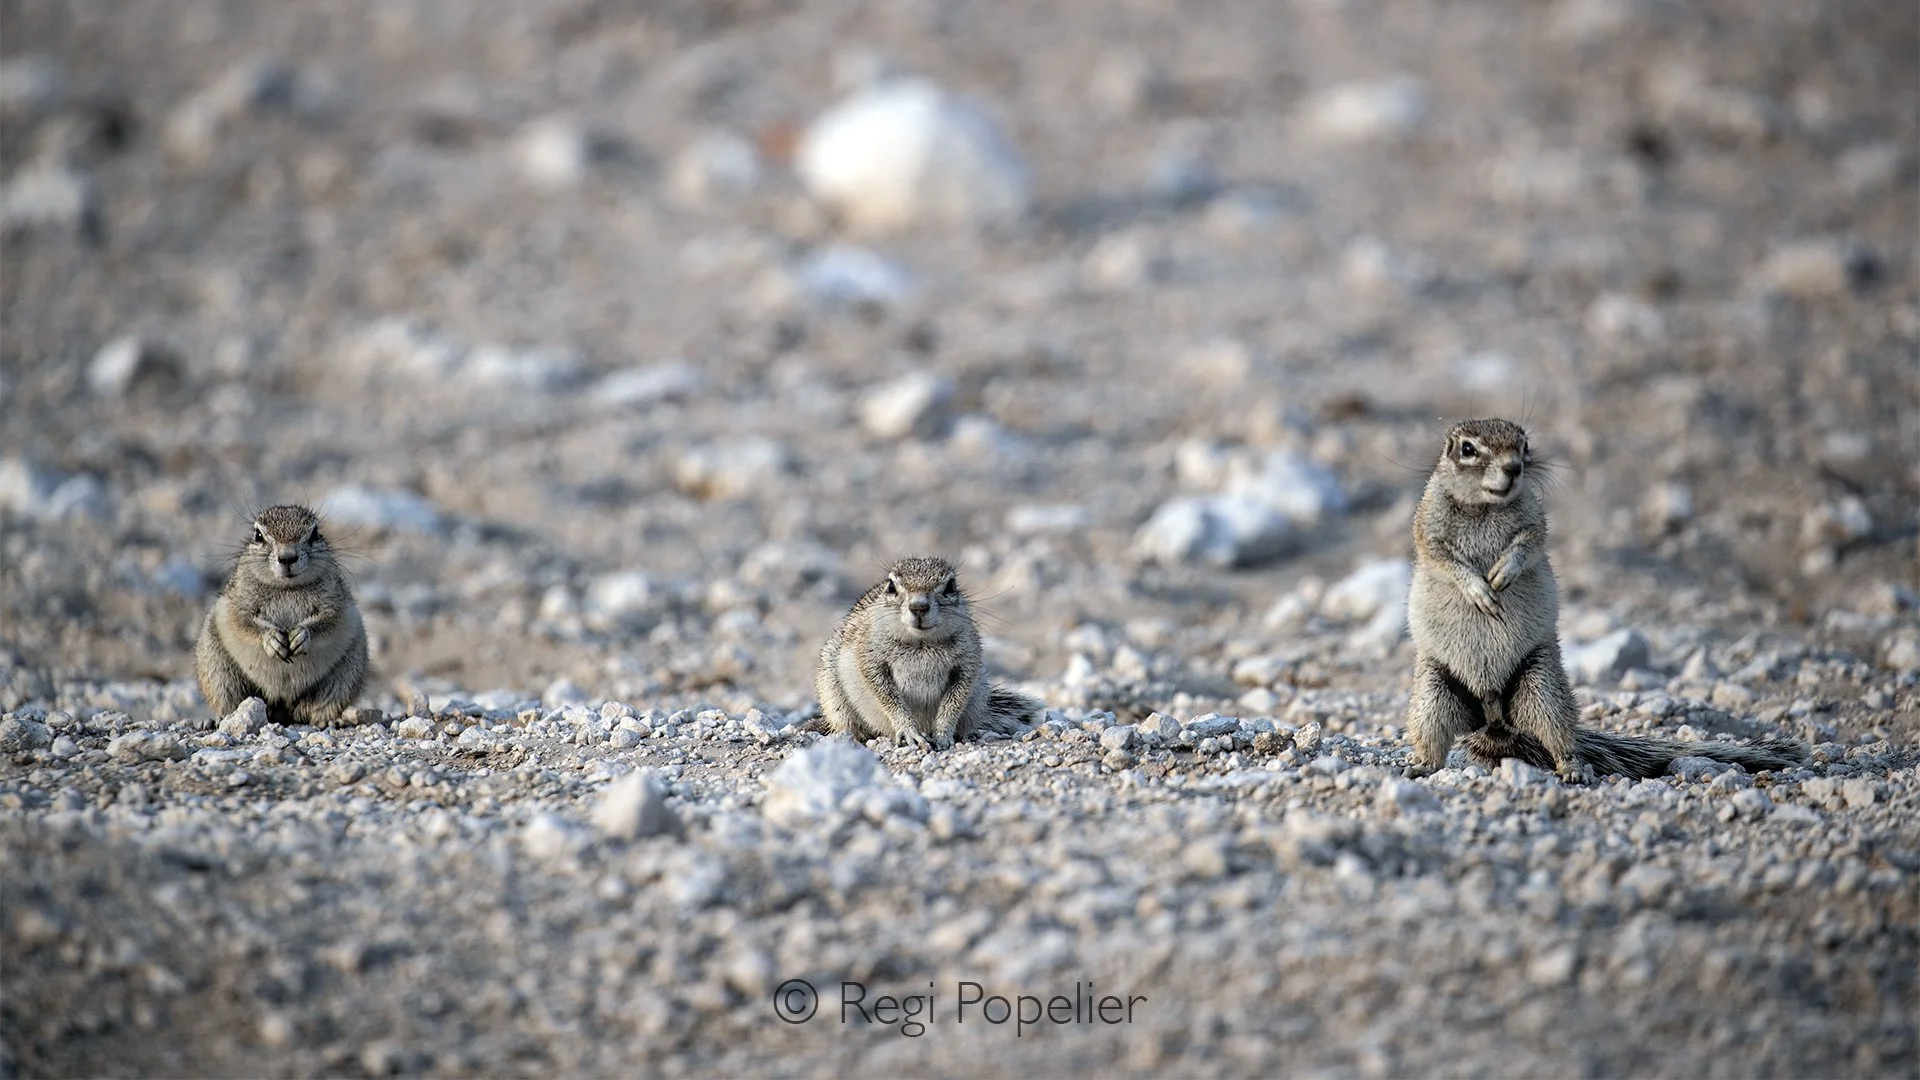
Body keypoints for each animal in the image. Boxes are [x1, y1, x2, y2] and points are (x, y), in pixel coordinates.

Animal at [195, 504, 369, 727]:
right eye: (258, 535)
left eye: (314, 533)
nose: (287, 557)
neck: (287, 588)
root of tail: (282, 708)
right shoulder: (238, 603)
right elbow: (244, 623)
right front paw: (272, 639)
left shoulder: (335, 602)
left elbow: (328, 621)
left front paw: (301, 636)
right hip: (218, 670)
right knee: (231, 702)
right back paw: (216, 721)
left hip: (345, 675)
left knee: (319, 707)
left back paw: (330, 721)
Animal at [815, 555, 1044, 749]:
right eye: (891, 586)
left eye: (950, 586)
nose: (919, 607)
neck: (921, 643)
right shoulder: (870, 658)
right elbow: (887, 697)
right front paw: (910, 732)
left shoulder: (967, 663)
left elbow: (954, 701)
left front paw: (943, 735)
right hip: (833, 694)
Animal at [1403, 419, 1805, 781]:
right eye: (1469, 449)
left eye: (1524, 444)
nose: (1513, 468)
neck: (1486, 506)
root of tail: (1494, 721)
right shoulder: (1427, 526)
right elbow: (1445, 559)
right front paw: (1479, 588)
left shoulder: (1536, 520)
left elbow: (1529, 543)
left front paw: (1504, 572)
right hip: (1432, 695)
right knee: (1433, 740)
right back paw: (1421, 766)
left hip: (1542, 687)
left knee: (1561, 738)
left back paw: (1571, 769)